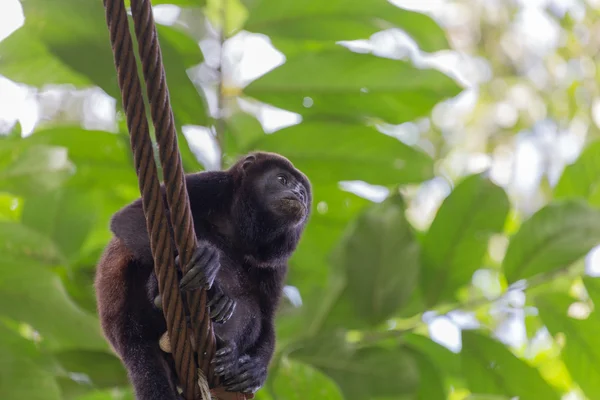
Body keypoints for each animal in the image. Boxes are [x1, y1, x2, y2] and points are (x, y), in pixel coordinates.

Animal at [95, 152, 310, 398]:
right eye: (282, 179)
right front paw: (212, 285)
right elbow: (129, 218)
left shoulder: (276, 263)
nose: (298, 194)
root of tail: (126, 337)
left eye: (303, 191)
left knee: (253, 308)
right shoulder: (209, 184)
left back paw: (228, 355)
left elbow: (266, 314)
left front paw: (256, 371)